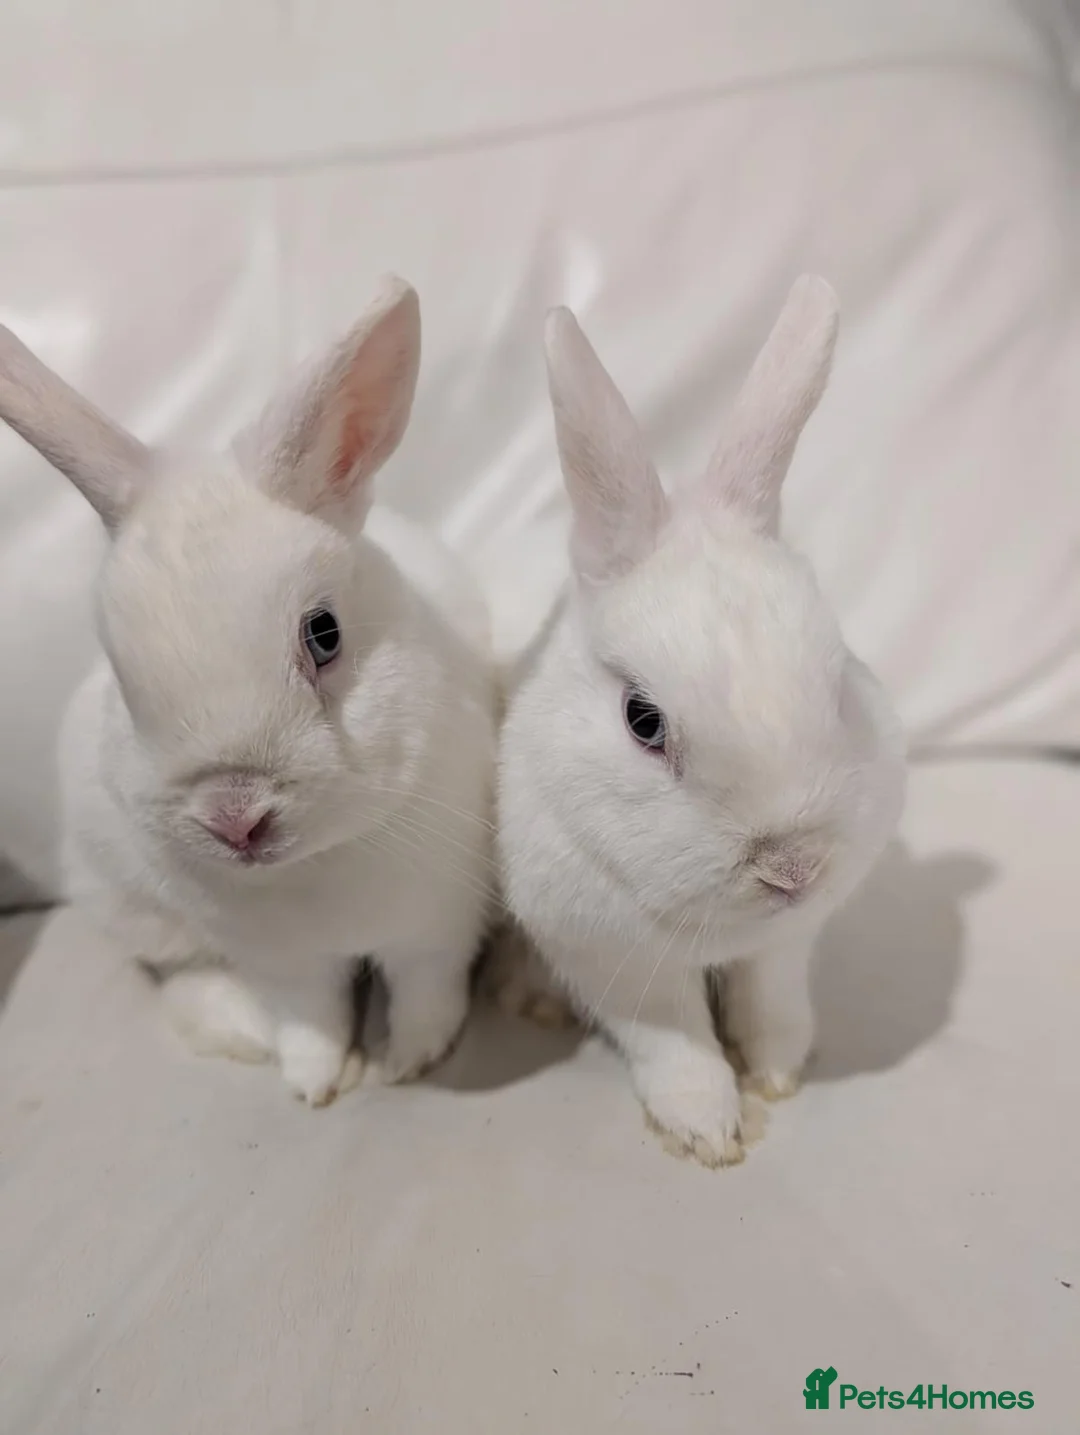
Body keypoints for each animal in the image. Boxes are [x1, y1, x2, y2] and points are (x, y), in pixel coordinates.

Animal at [0, 276, 497, 1106]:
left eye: (323, 633)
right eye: (122, 675)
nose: (235, 818)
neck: (316, 866)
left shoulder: (436, 925)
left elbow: (426, 993)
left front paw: (407, 1062)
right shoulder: (283, 966)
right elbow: (311, 1017)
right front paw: (317, 1083)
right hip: (125, 902)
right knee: (186, 978)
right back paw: (241, 1030)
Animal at [495, 276, 906, 1166]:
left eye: (839, 686)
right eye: (643, 721)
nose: (793, 867)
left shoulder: (783, 947)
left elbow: (773, 1004)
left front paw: (779, 1073)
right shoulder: (619, 965)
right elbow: (675, 1044)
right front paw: (708, 1131)